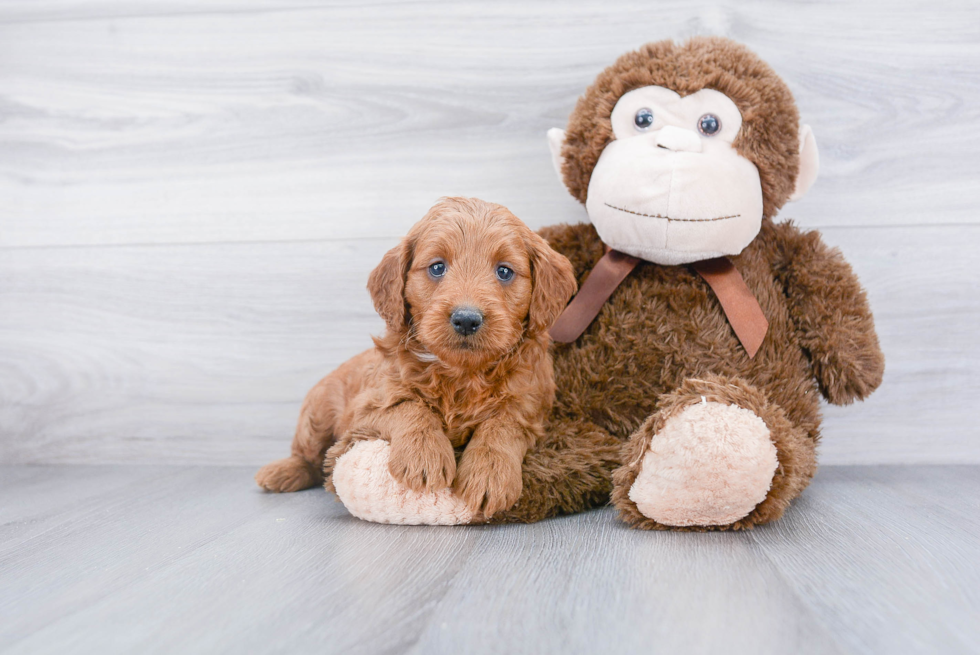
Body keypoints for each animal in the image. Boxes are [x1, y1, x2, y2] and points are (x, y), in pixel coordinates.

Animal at [256, 197, 580, 520]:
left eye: (504, 272)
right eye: (437, 267)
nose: (466, 319)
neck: (462, 373)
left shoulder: (530, 408)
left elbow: (502, 425)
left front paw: (489, 474)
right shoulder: (366, 407)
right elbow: (409, 406)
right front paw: (424, 456)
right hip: (316, 416)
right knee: (309, 455)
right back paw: (280, 472)